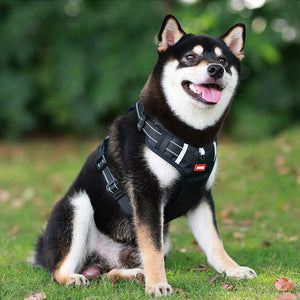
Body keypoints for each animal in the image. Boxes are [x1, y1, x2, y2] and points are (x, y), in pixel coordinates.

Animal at [33, 14, 258, 298]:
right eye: (191, 57)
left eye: (223, 60)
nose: (215, 70)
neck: (190, 136)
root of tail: (41, 250)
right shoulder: (147, 193)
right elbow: (153, 248)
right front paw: (158, 284)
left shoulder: (201, 197)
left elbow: (214, 242)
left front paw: (233, 269)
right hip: (78, 205)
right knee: (59, 272)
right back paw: (77, 278)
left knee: (108, 274)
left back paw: (134, 275)